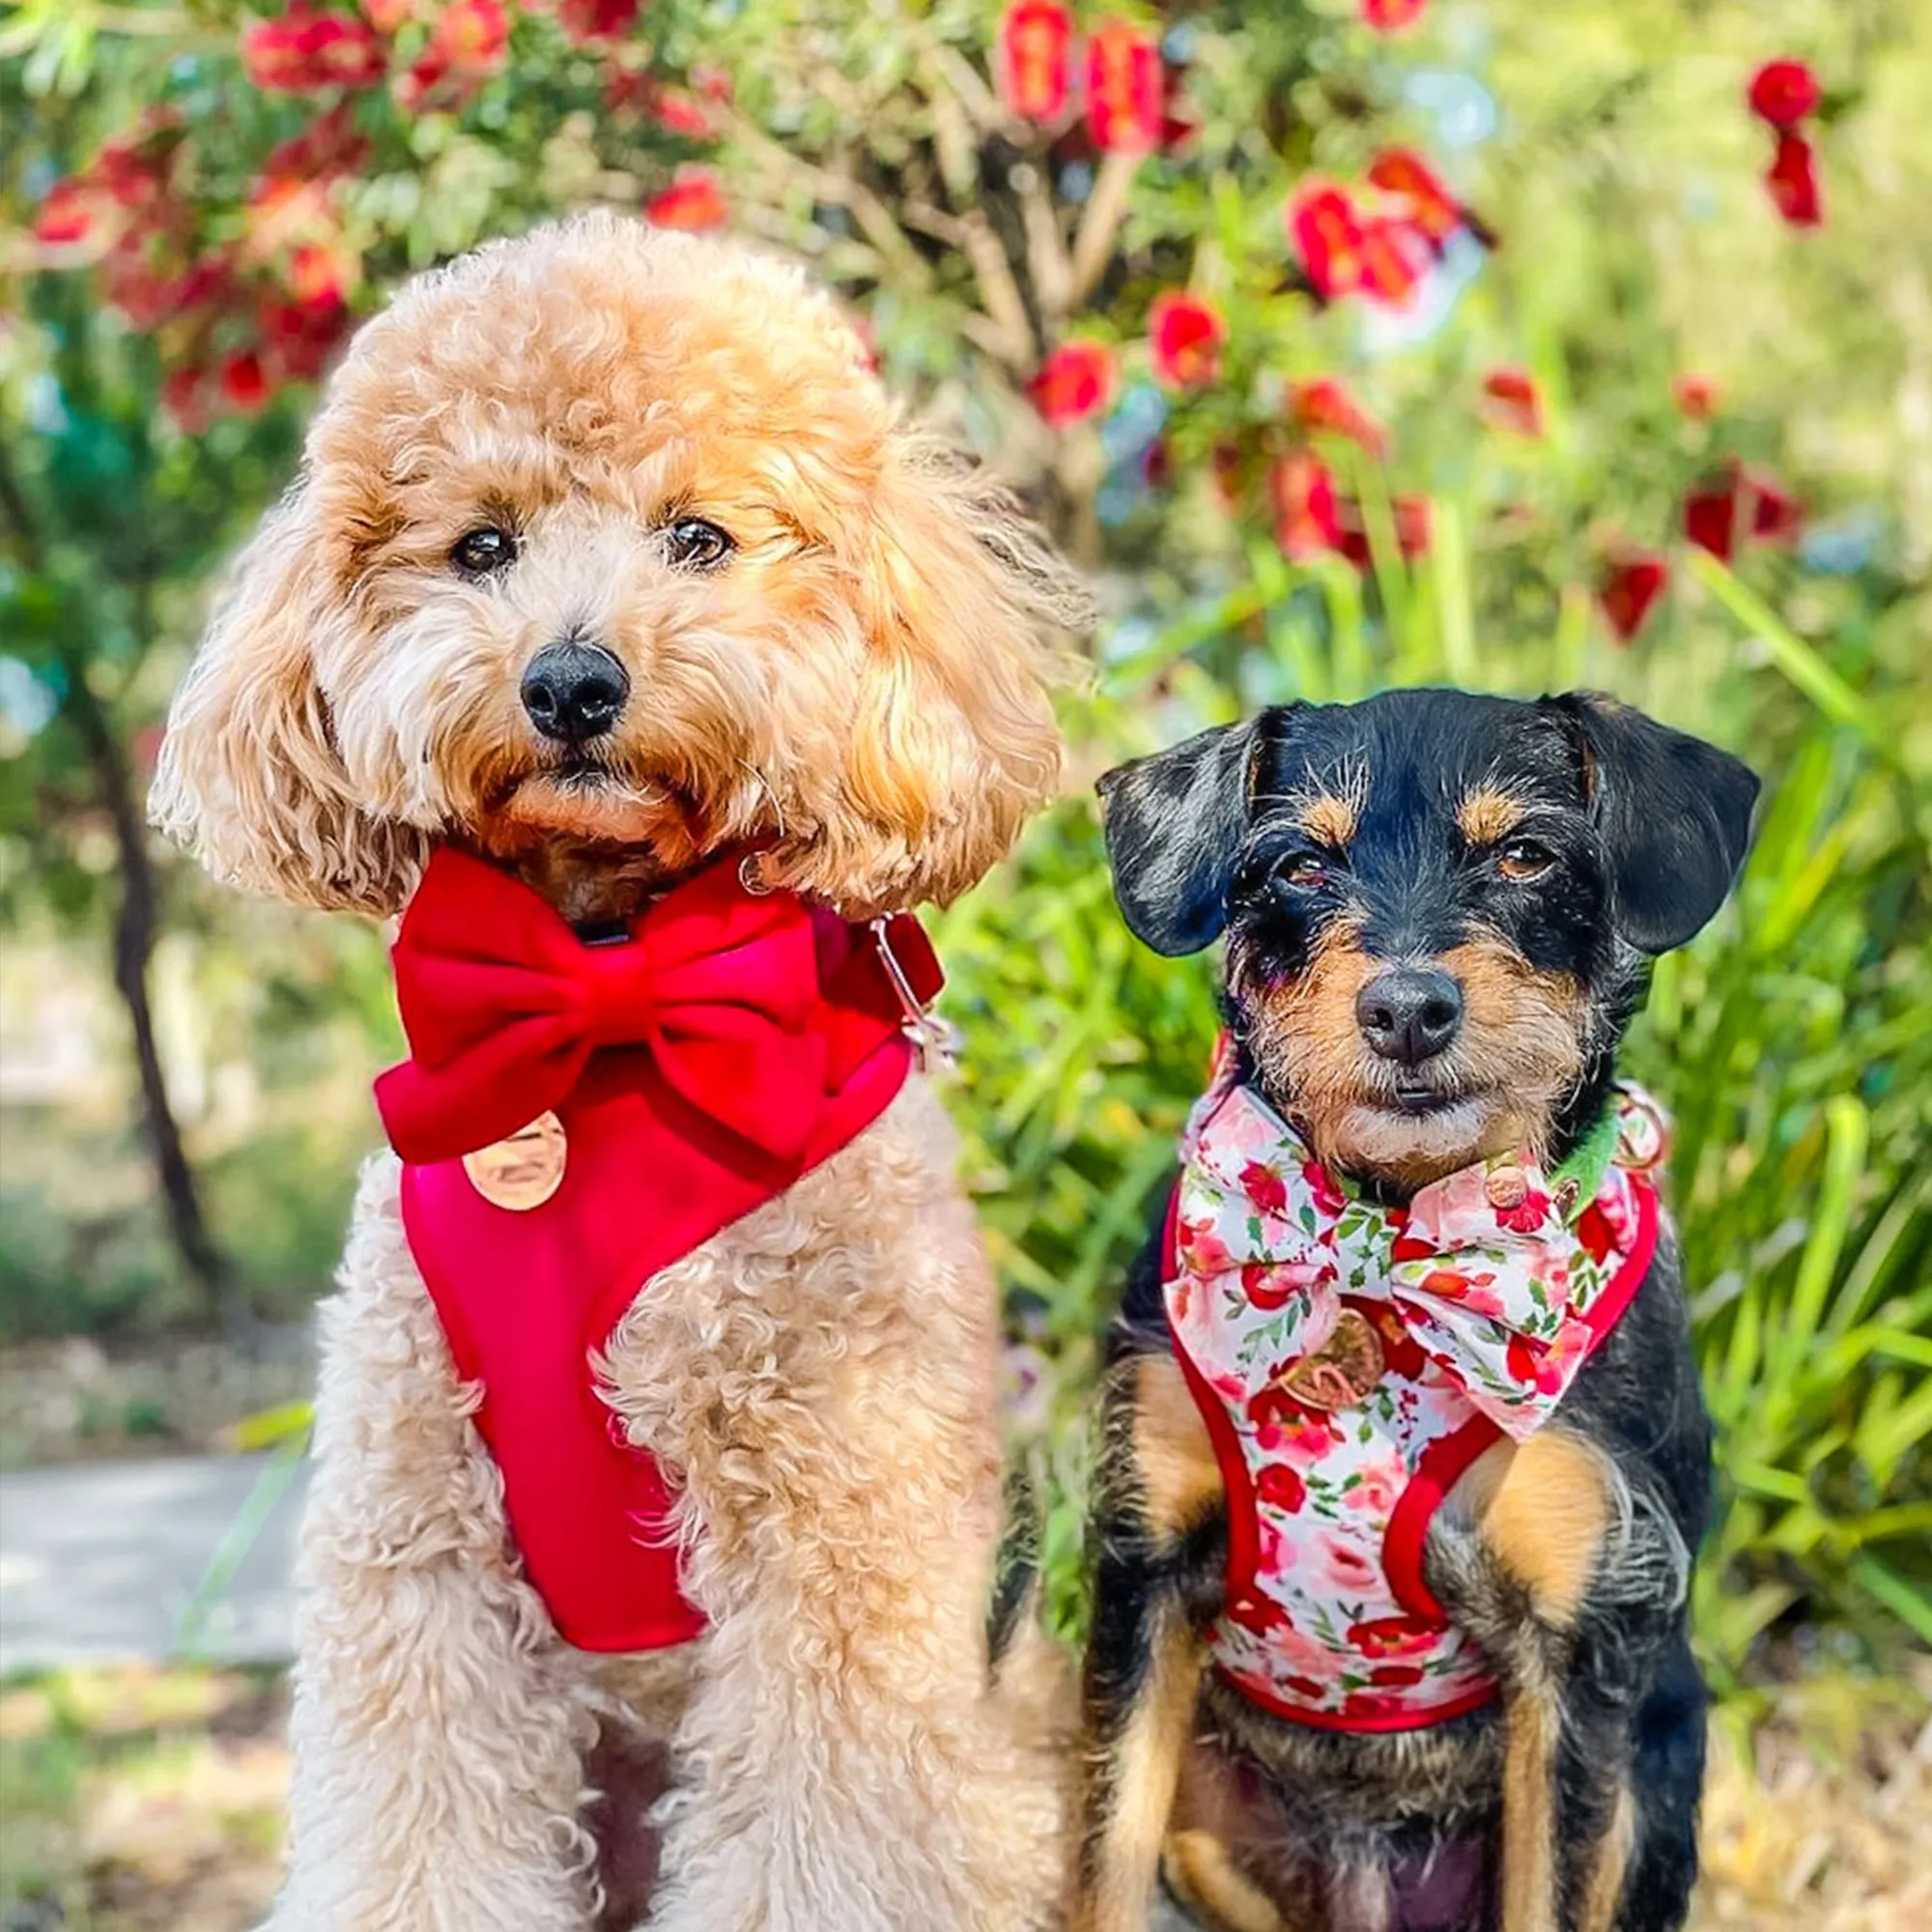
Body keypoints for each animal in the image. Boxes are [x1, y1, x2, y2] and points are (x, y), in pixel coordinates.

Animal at [151, 215, 1090, 1932]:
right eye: (482, 548)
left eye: (701, 538)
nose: (572, 684)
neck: (603, 1002)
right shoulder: (417, 1529)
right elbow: (417, 1829)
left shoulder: (844, 1537)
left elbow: (822, 1842)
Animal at [1074, 696, 1770, 1932]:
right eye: (1297, 863)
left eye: (1526, 853)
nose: (1405, 1006)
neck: (1385, 1235)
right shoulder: (1139, 1568)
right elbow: (1099, 1868)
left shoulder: (1581, 1643)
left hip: (1652, 1778)